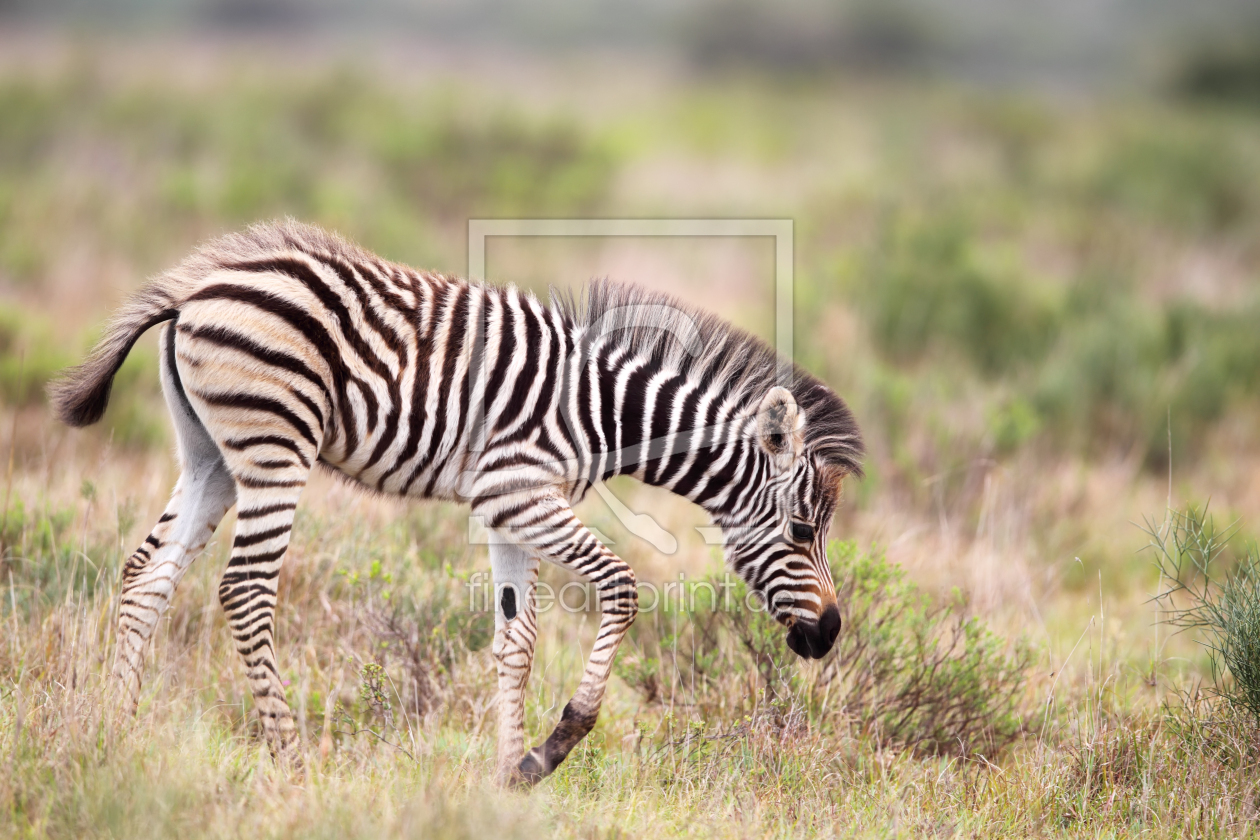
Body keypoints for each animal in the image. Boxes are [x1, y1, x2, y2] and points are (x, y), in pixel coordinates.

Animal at [50, 220, 863, 786]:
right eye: (800, 530)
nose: (829, 634)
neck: (602, 414)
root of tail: (194, 287)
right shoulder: (519, 489)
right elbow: (622, 587)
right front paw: (558, 741)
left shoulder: (508, 511)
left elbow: (517, 640)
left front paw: (511, 773)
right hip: (274, 444)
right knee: (245, 588)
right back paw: (293, 762)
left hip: (210, 455)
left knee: (147, 575)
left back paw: (114, 736)